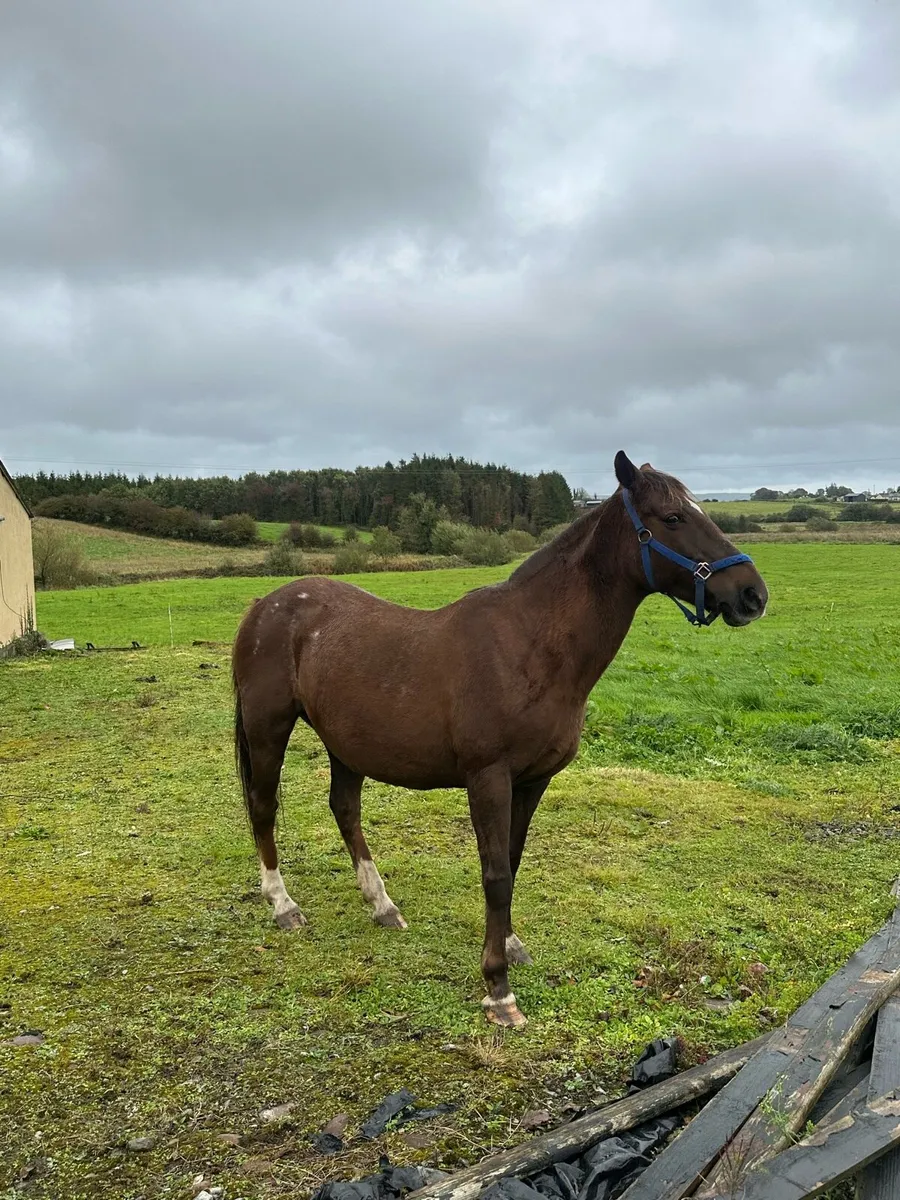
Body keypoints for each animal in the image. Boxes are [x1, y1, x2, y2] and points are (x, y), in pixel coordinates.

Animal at [231, 452, 768, 1027]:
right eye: (671, 517)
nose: (753, 595)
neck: (530, 645)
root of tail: (265, 604)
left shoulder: (532, 782)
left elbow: (511, 861)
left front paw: (510, 947)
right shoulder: (488, 779)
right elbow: (495, 875)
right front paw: (498, 989)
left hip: (345, 743)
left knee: (345, 809)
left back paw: (382, 905)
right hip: (269, 729)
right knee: (263, 807)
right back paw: (283, 905)